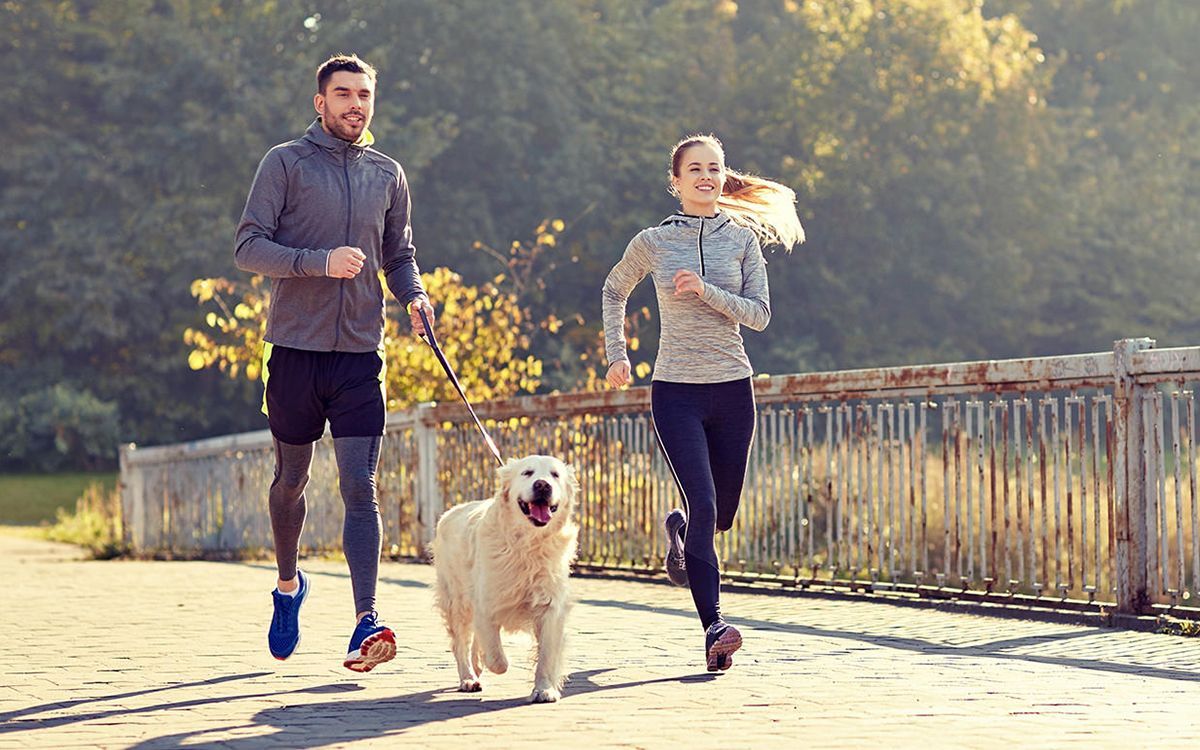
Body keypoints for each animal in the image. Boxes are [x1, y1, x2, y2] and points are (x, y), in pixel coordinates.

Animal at [432, 453, 580, 705]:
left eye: (555, 474)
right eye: (527, 472)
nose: (543, 485)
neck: (528, 545)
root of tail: (451, 512)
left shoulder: (550, 607)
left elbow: (547, 654)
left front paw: (544, 689)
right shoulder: (486, 603)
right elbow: (496, 657)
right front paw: (492, 662)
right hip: (457, 601)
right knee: (461, 643)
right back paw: (468, 677)